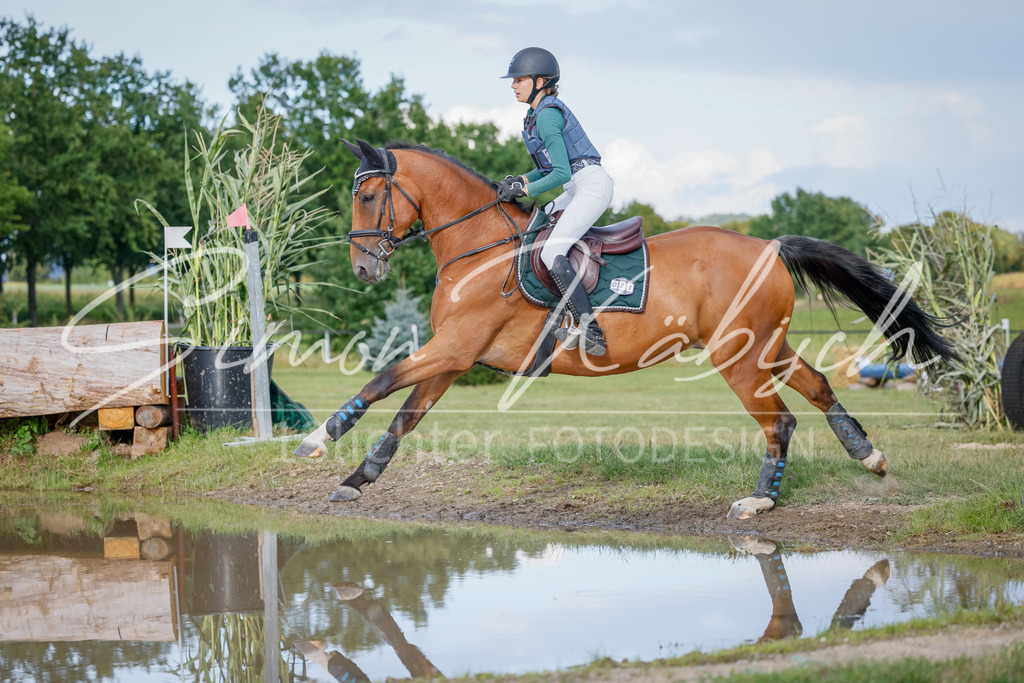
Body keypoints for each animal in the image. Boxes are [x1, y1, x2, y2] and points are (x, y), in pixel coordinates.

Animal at [293, 138, 958, 520]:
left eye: (369, 196)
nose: (362, 266)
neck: (478, 248)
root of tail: (768, 245)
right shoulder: (455, 357)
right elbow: (403, 419)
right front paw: (356, 481)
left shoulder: (452, 348)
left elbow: (381, 381)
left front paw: (317, 440)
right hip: (765, 344)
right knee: (817, 387)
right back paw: (869, 458)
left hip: (737, 356)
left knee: (780, 421)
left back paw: (761, 499)